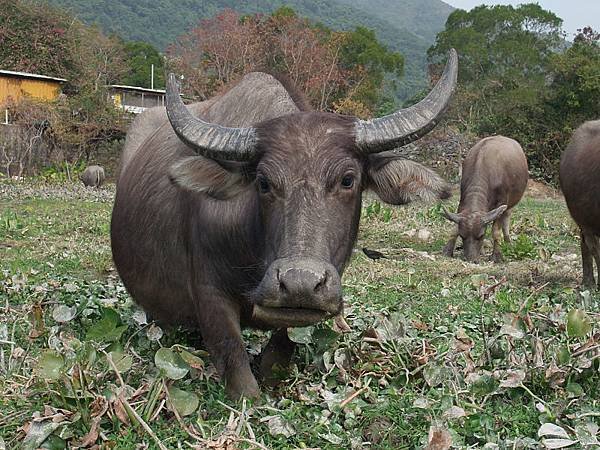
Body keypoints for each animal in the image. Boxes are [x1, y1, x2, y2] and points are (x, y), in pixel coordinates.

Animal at [112, 49, 458, 398]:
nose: (300, 282)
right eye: (263, 183)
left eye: (348, 179)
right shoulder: (209, 293)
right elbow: (234, 360)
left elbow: (280, 351)